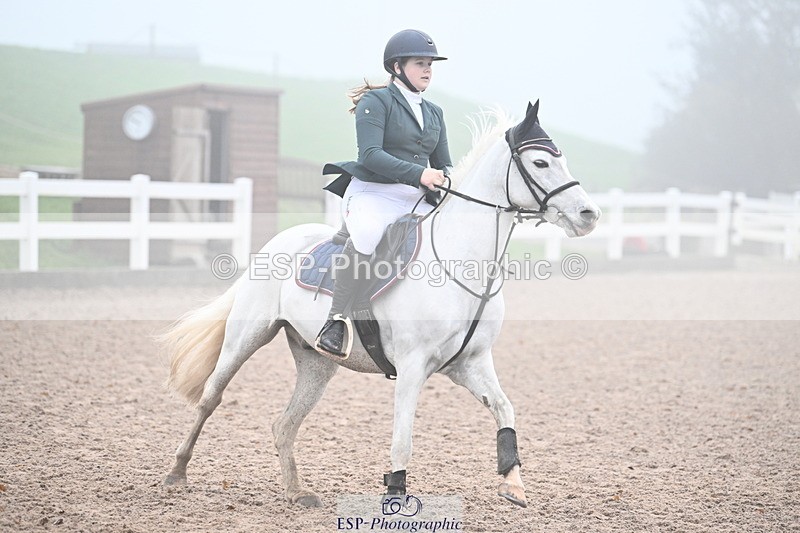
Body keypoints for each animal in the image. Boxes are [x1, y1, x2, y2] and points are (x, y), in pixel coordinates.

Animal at [160, 101, 601, 509]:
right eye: (540, 162)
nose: (589, 214)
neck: (462, 263)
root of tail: (278, 240)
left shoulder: (471, 363)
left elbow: (505, 411)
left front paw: (513, 484)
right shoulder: (411, 366)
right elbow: (402, 439)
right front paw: (396, 492)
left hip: (317, 362)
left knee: (284, 424)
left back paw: (297, 492)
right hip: (247, 336)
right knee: (210, 399)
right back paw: (176, 473)